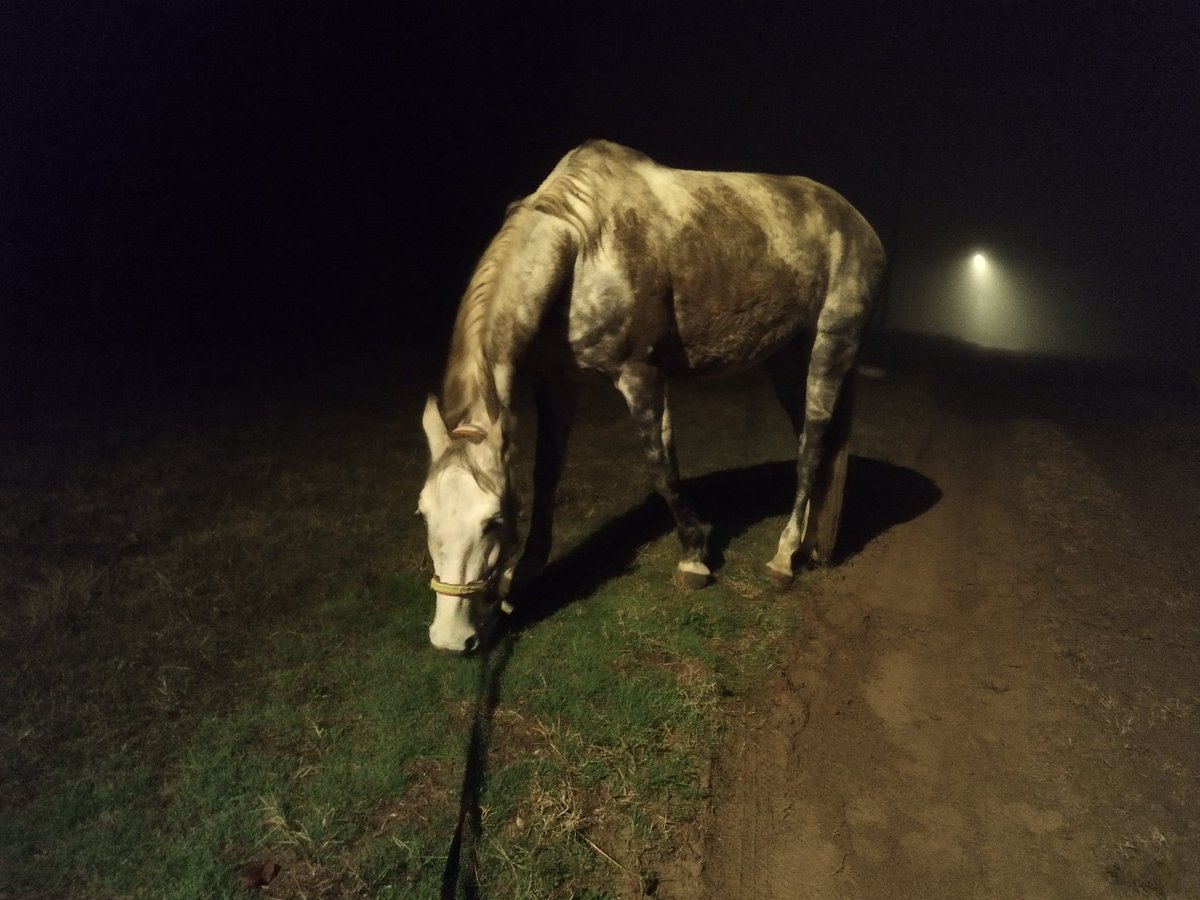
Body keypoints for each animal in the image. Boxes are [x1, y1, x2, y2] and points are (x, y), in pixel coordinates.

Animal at [418, 140, 885, 651]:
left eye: (493, 521)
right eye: (424, 515)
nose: (451, 637)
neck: (582, 247)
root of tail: (858, 222)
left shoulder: (640, 376)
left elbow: (662, 469)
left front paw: (695, 557)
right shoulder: (556, 381)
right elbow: (546, 476)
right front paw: (522, 577)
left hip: (830, 345)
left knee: (814, 444)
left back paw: (784, 555)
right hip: (785, 356)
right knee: (811, 441)